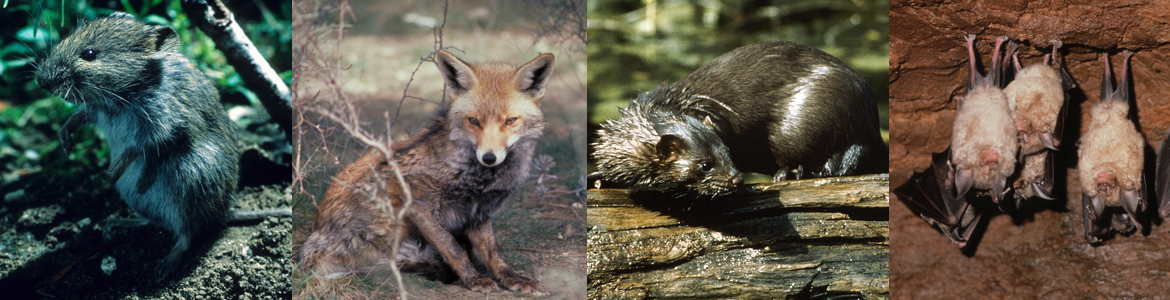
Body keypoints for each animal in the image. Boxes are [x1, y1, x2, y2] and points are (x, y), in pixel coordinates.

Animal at [297, 49, 552, 292]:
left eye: (510, 121)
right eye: (473, 121)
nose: (489, 157)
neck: (475, 175)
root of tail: (309, 247)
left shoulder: (478, 212)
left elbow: (493, 252)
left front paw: (510, 277)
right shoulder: (421, 203)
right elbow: (454, 249)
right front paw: (473, 279)